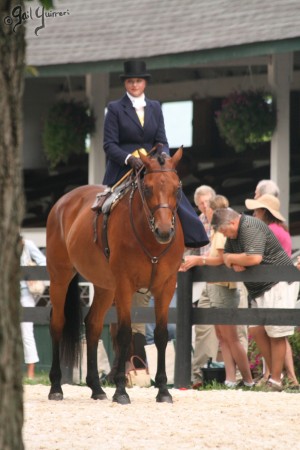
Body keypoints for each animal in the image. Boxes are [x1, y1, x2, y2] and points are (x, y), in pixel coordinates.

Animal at [46, 147, 185, 404]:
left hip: (104, 286)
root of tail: (63, 202)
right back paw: (56, 387)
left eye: (177, 188)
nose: (164, 231)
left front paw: (163, 390)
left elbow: (161, 335)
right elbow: (123, 334)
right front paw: (121, 390)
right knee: (57, 323)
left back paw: (96, 388)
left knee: (93, 324)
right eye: (147, 188)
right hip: (60, 276)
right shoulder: (124, 285)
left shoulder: (166, 286)